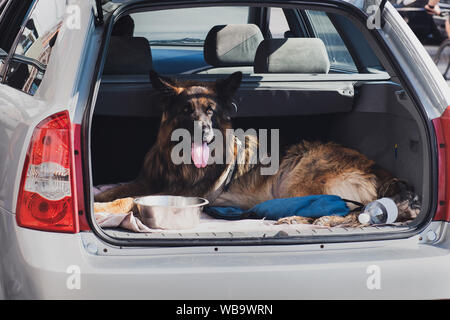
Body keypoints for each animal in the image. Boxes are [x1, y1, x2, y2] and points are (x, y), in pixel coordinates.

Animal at [93, 70, 420, 225]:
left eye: (211, 111)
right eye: (187, 110)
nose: (205, 134)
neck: (178, 164)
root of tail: (379, 169)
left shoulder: (182, 194)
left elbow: (128, 200)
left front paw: (100, 209)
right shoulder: (148, 181)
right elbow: (118, 190)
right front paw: (96, 200)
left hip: (298, 175)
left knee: (339, 208)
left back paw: (301, 218)